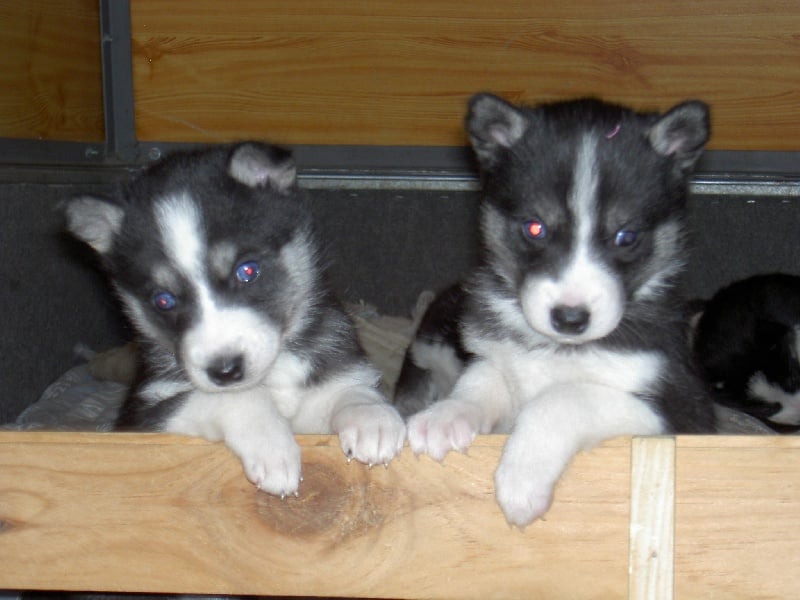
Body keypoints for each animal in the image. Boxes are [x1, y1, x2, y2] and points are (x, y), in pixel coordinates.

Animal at [64, 142, 406, 497]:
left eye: (248, 270)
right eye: (163, 300)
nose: (225, 371)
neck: (274, 375)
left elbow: (350, 390)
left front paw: (372, 418)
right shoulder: (144, 417)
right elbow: (233, 398)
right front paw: (272, 447)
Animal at [401, 94, 717, 527]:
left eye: (626, 236)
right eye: (535, 228)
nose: (570, 319)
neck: (557, 352)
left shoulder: (679, 410)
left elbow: (563, 398)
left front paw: (521, 479)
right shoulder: (498, 357)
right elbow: (481, 380)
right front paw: (447, 415)